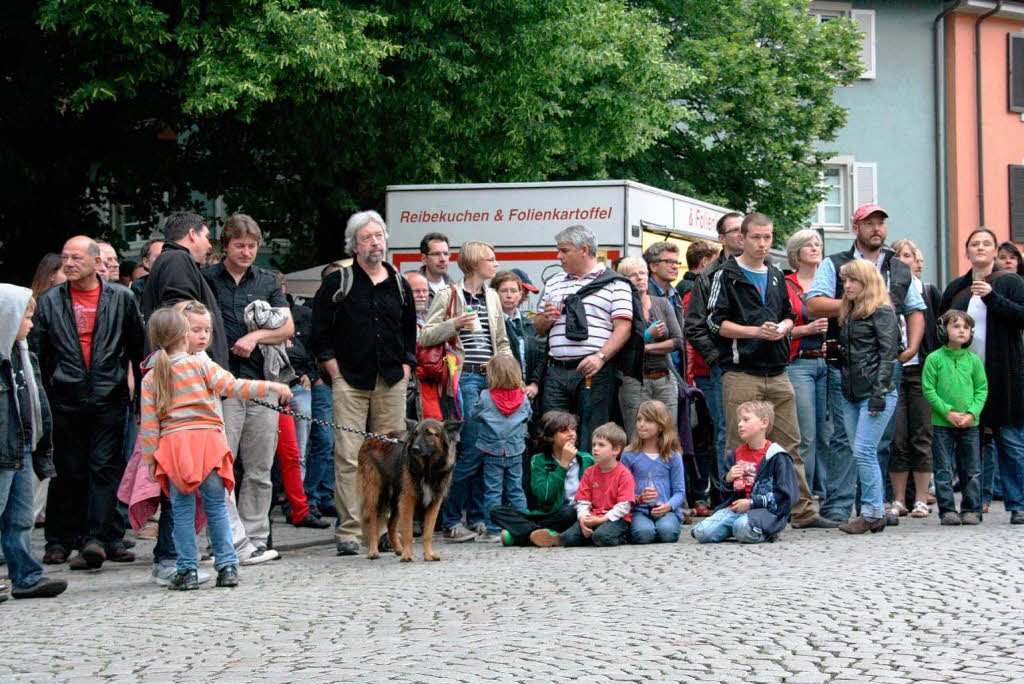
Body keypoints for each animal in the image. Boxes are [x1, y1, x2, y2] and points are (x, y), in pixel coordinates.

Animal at [356, 417, 460, 561]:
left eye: (429, 433)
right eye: (415, 434)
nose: (414, 449)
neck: (427, 469)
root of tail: (371, 436)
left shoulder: (434, 503)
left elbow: (428, 533)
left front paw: (428, 554)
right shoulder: (408, 500)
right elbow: (408, 532)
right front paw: (407, 555)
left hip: (396, 501)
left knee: (390, 525)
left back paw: (398, 549)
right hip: (374, 495)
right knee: (371, 522)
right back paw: (373, 551)